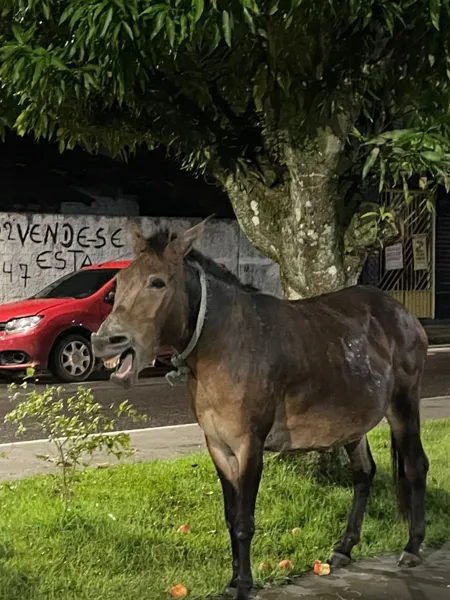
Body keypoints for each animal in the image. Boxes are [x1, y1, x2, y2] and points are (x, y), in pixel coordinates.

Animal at [91, 220, 428, 600]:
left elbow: (243, 521)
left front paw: (244, 585)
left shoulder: (248, 444)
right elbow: (229, 516)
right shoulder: (218, 446)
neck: (223, 343)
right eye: (118, 284)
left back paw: (412, 547)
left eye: (158, 282)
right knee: (364, 473)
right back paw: (344, 548)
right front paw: (233, 579)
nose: (105, 342)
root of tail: (403, 314)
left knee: (415, 466)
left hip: (403, 403)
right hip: (352, 419)